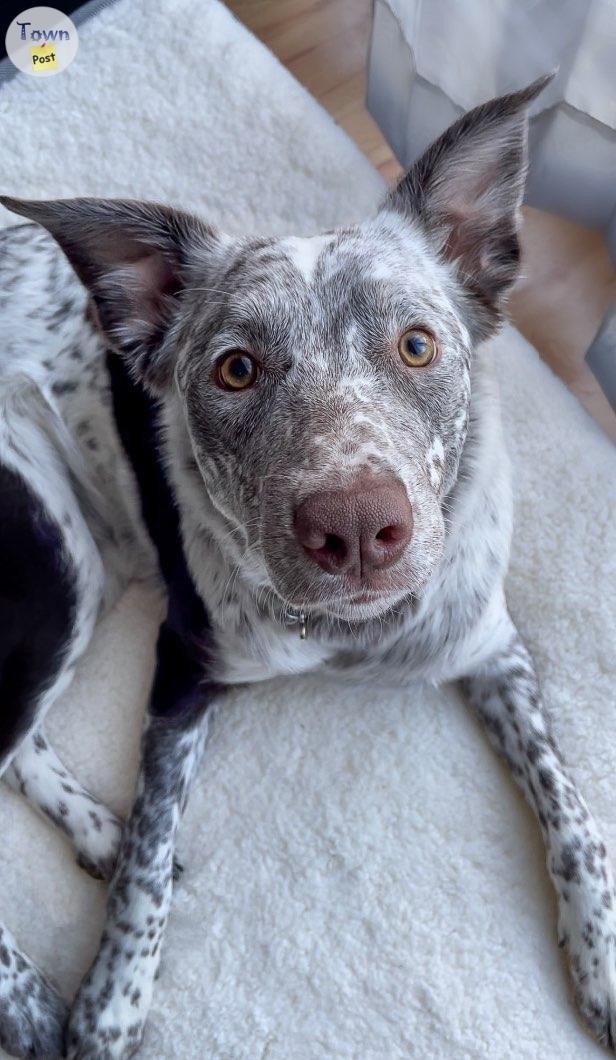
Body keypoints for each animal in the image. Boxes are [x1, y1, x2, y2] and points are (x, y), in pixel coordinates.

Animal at [2, 74, 610, 1060]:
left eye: (416, 345)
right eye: (236, 370)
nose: (357, 529)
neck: (349, 635)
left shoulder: (490, 646)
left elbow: (574, 816)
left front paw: (603, 956)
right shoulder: (183, 665)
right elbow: (145, 876)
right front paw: (109, 1005)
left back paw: (95, 828)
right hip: (56, 557)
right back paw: (31, 983)